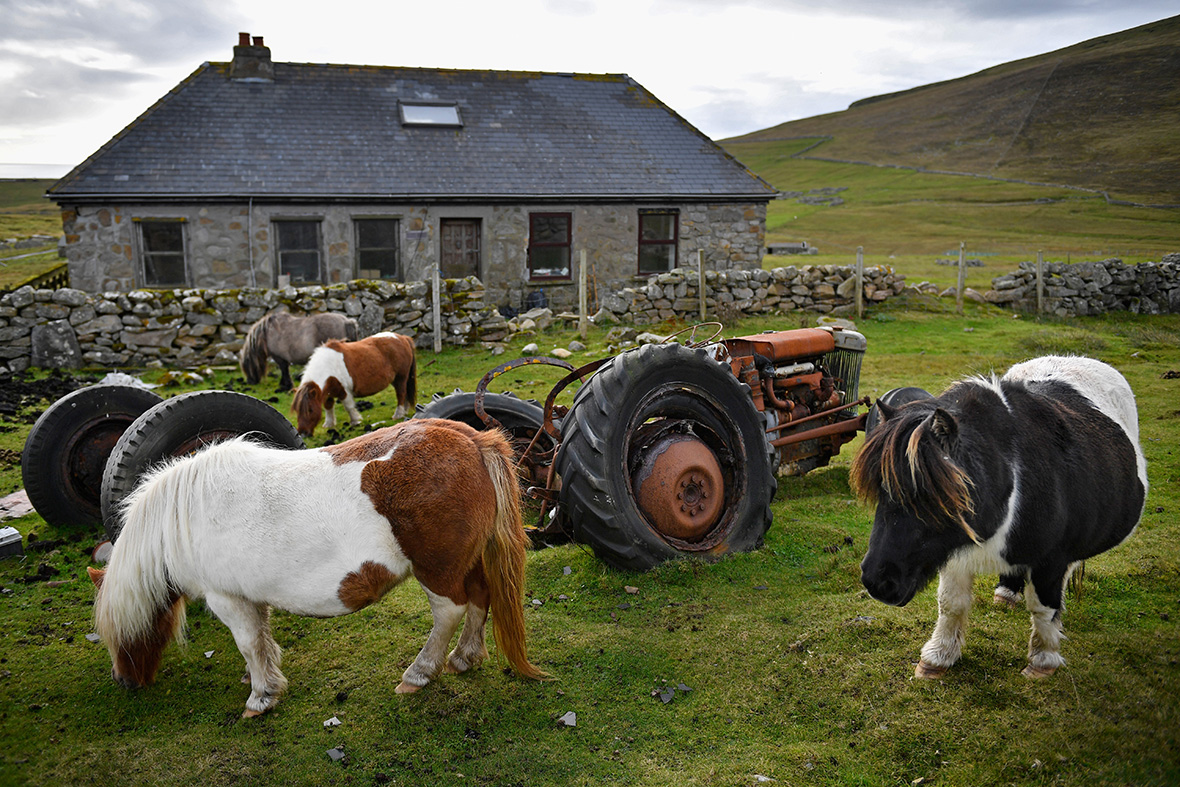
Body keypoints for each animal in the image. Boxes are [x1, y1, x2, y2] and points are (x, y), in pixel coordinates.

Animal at [89, 422, 545, 717]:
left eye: (121, 631)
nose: (124, 682)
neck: (184, 516)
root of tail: (471, 438)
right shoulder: (250, 597)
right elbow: (262, 639)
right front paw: (263, 678)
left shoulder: (227, 599)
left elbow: (248, 643)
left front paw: (260, 698)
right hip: (465, 562)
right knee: (480, 599)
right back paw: (465, 658)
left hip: (437, 571)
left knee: (450, 611)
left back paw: (419, 673)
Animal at [854, 356, 1146, 679]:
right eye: (881, 489)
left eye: (930, 496)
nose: (878, 581)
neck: (1013, 477)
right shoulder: (954, 552)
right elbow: (950, 603)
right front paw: (937, 658)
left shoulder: (1052, 560)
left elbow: (1044, 608)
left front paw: (1042, 661)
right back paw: (1006, 593)